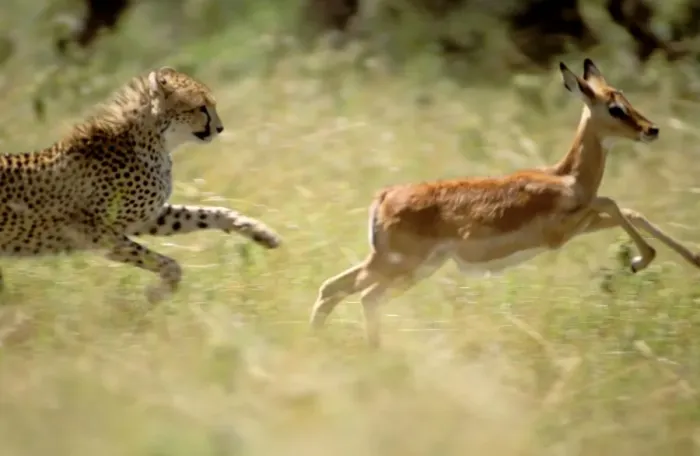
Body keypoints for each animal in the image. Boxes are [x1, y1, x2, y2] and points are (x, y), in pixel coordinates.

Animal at [0, 66, 281, 303]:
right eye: (201, 107)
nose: (220, 128)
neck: (153, 141)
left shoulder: (148, 217)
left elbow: (209, 213)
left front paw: (260, 231)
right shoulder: (94, 233)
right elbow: (167, 263)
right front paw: (155, 295)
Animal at [309, 58, 700, 348]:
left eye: (626, 98)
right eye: (615, 107)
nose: (652, 129)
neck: (566, 178)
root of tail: (384, 196)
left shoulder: (579, 225)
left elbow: (631, 210)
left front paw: (688, 258)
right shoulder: (562, 232)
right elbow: (613, 203)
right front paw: (639, 260)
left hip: (412, 269)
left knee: (349, 293)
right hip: (397, 265)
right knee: (346, 292)